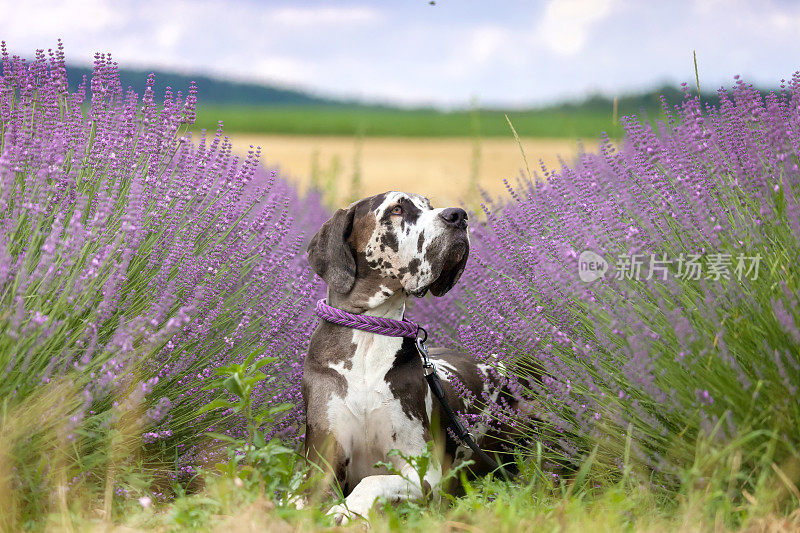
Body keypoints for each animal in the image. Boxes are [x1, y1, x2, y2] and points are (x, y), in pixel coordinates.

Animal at [302, 191, 512, 524]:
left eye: (430, 205)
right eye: (397, 208)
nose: (459, 215)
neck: (369, 335)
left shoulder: (423, 471)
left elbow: (372, 480)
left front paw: (346, 511)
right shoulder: (321, 458)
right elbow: (300, 496)